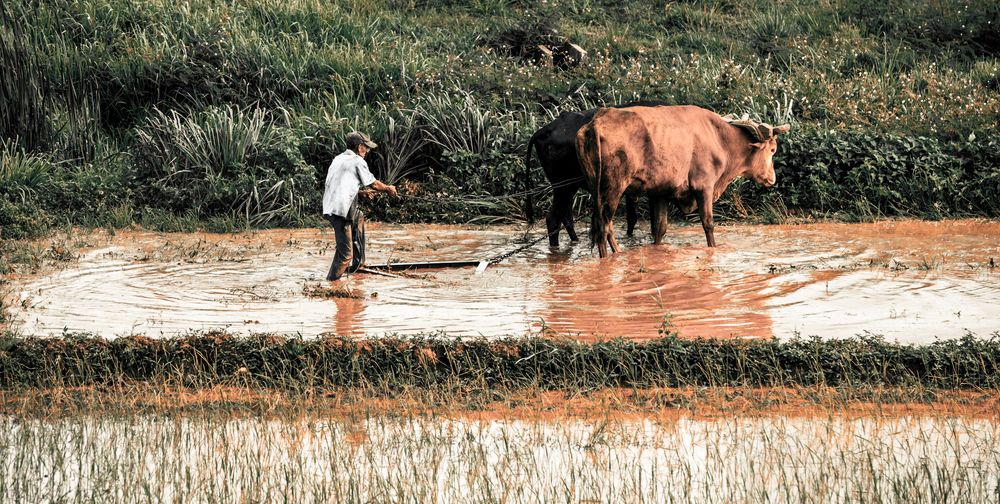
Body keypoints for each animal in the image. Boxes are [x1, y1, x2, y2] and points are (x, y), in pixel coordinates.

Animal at [580, 105, 788, 258]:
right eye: (772, 150)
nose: (772, 178)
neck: (719, 138)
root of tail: (597, 122)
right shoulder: (704, 187)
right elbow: (708, 224)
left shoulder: (660, 192)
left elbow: (660, 228)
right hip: (613, 189)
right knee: (603, 228)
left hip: (598, 192)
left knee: (607, 227)